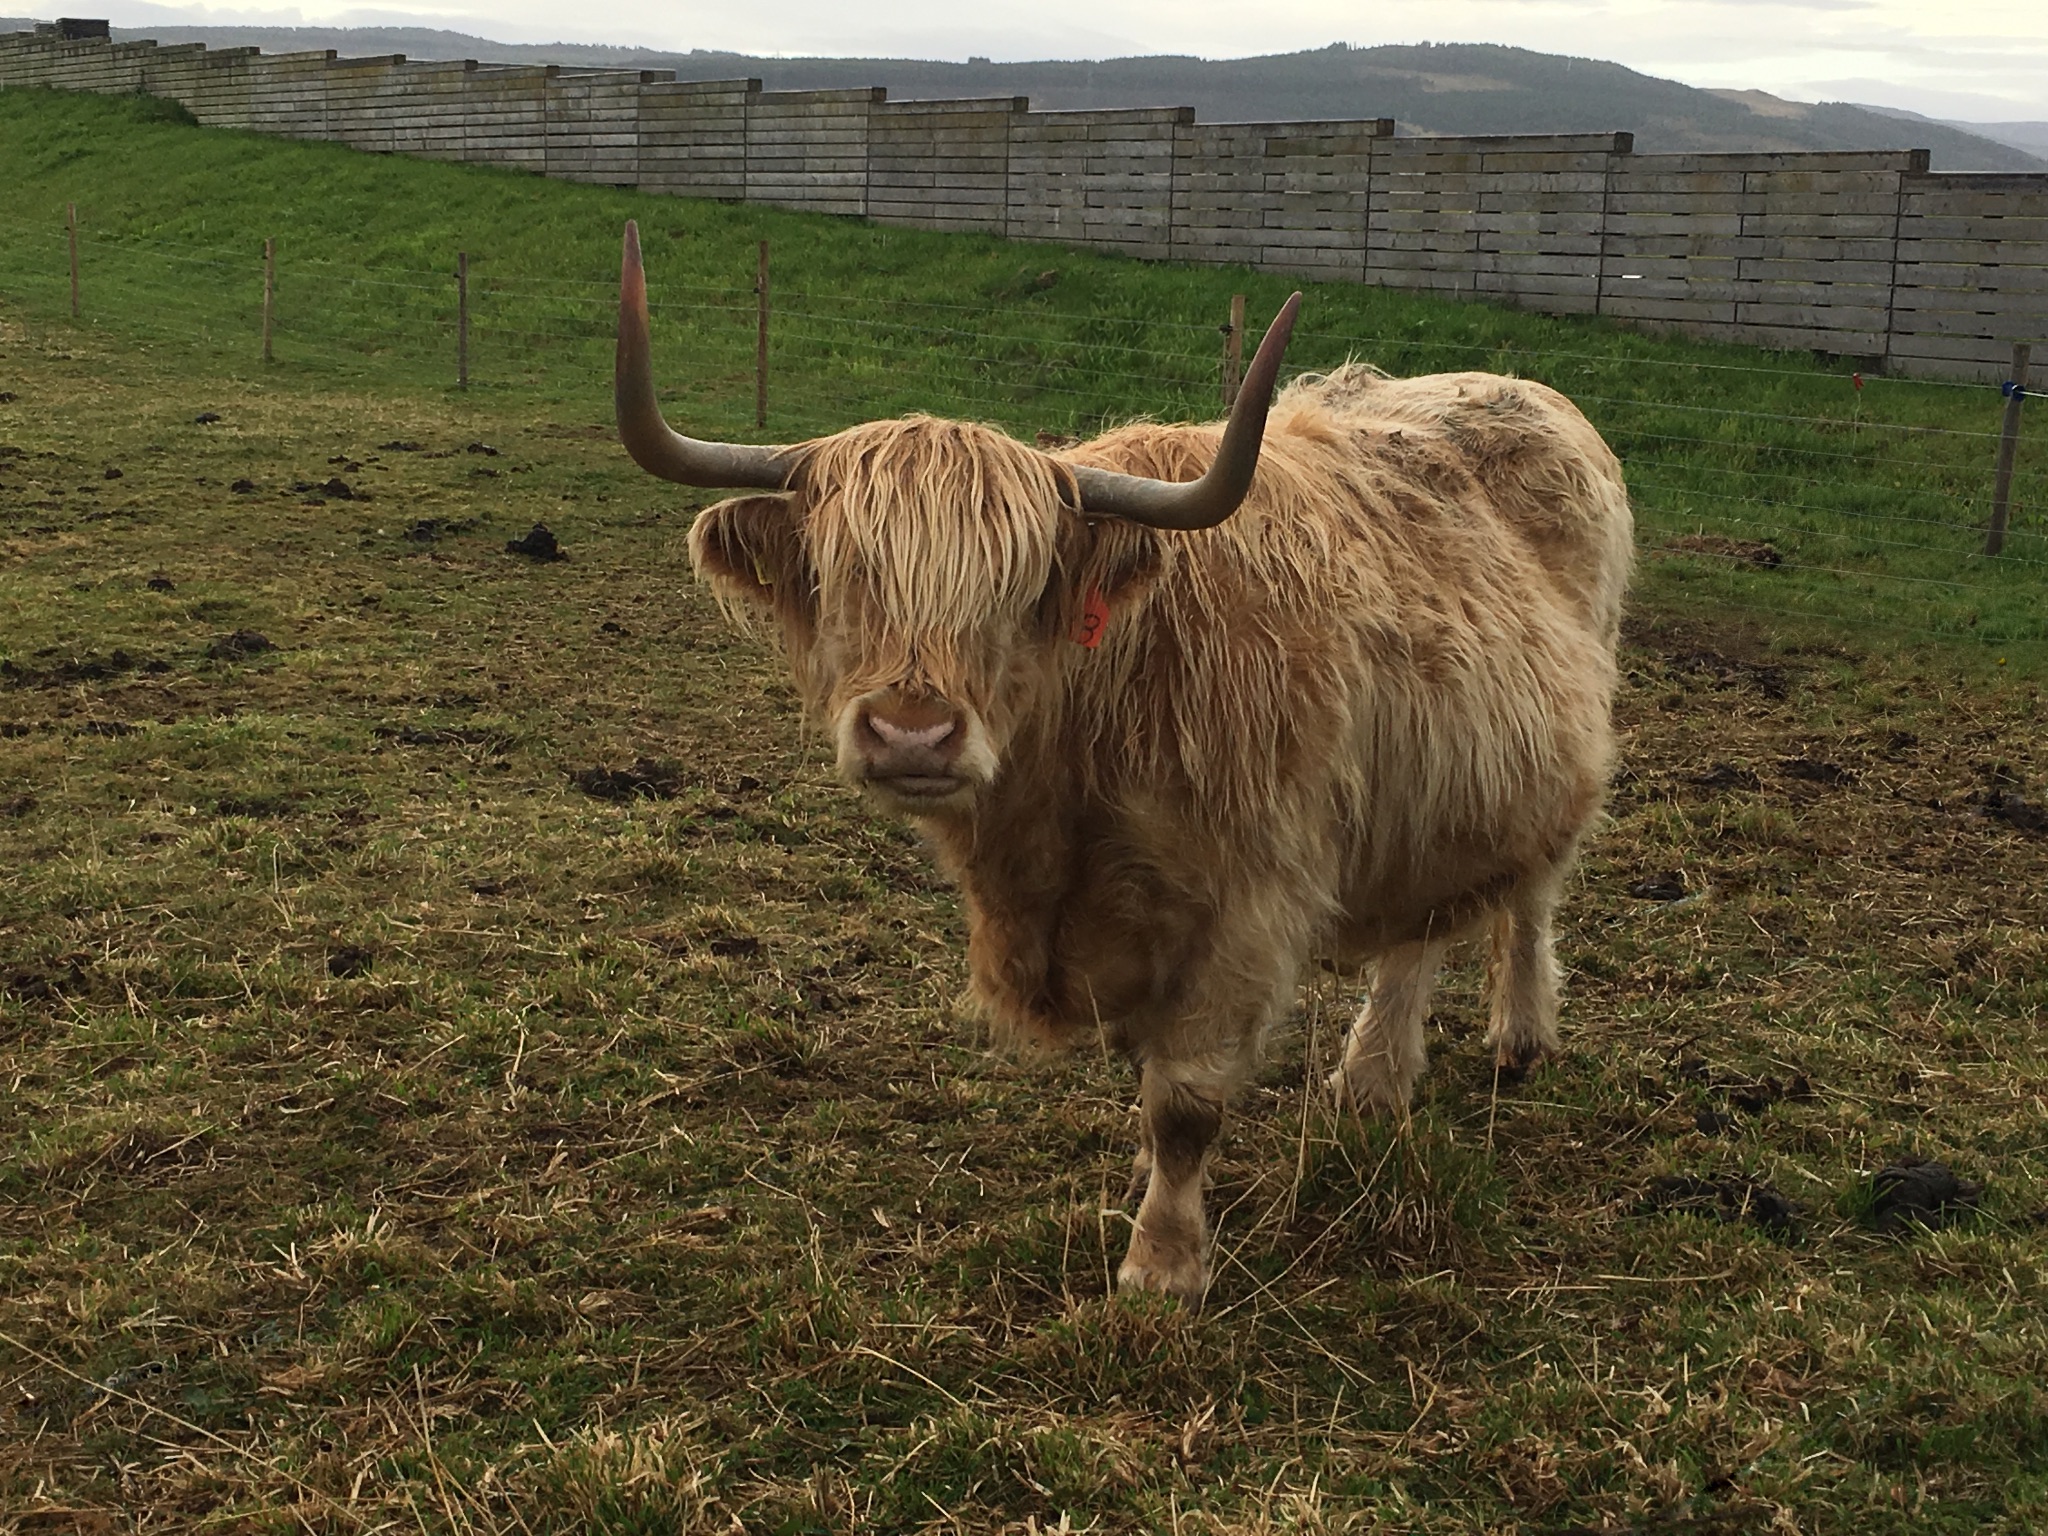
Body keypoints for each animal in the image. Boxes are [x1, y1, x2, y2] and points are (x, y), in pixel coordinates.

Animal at [613, 221, 1632, 1306]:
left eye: (1021, 589)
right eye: (842, 575)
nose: (911, 733)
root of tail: (1513, 387)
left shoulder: (1249, 903)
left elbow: (1183, 1101)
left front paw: (1162, 1265)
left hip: (1559, 758)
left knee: (1527, 898)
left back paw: (1515, 1035)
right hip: (1437, 781)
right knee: (1420, 929)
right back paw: (1372, 1078)